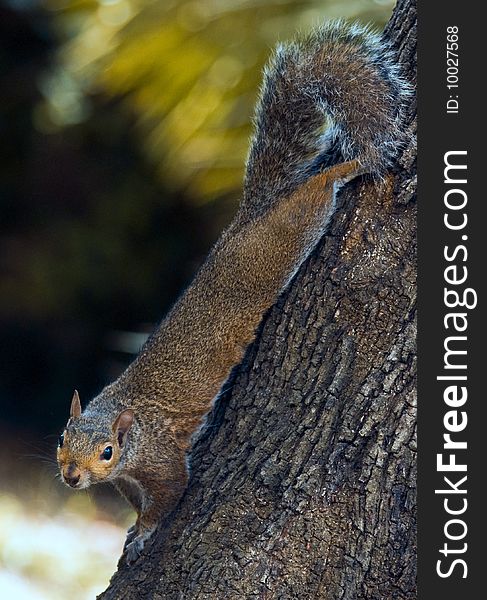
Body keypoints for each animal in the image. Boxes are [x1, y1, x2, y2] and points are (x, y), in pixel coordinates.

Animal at [55, 18, 410, 564]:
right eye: (61, 438)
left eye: (107, 451)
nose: (72, 477)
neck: (125, 425)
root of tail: (251, 218)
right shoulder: (128, 479)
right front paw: (133, 526)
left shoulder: (162, 460)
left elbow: (171, 495)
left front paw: (144, 535)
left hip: (294, 230)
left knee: (320, 189)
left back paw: (350, 167)